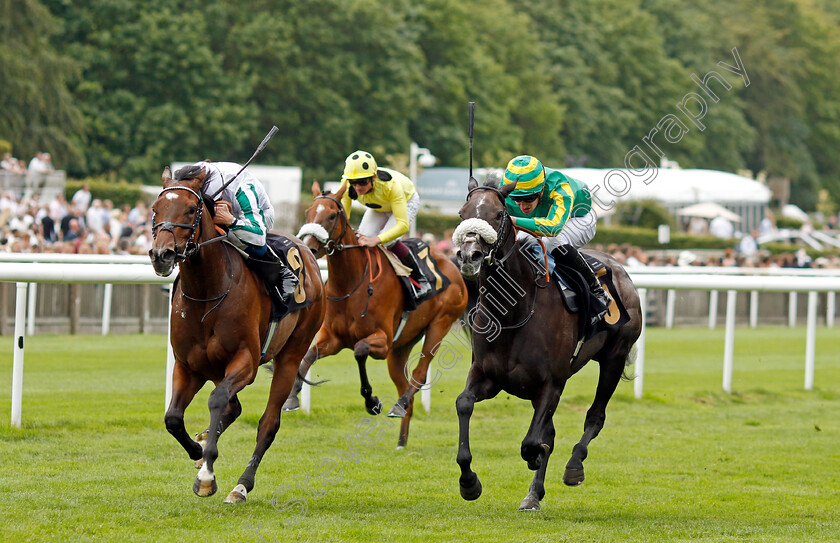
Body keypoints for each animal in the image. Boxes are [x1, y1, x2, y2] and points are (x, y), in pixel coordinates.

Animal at [148, 168, 324, 504]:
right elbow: (173, 418)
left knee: (268, 423)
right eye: (155, 209)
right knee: (233, 408)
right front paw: (198, 451)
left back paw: (241, 486)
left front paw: (206, 475)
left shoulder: (246, 361)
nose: (162, 254)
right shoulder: (188, 365)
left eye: (191, 209)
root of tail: (307, 251)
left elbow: (217, 400)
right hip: (215, 367)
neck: (207, 292)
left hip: (291, 354)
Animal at [280, 181, 466, 448]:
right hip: (401, 348)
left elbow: (359, 351)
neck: (350, 284)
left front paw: (372, 401)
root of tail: (452, 263)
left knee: (419, 374)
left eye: (332, 215)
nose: (309, 246)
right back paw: (401, 440)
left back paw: (399, 405)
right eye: (307, 212)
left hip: (439, 325)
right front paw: (292, 398)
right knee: (405, 386)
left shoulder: (383, 341)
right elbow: (308, 356)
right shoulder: (333, 339)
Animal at [452, 174, 644, 510]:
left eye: (498, 215)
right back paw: (533, 493)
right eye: (463, 214)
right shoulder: (488, 376)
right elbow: (464, 404)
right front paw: (469, 483)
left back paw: (574, 466)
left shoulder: (551, 383)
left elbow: (533, 441)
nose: (469, 256)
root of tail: (621, 269)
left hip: (614, 357)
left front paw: (534, 457)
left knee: (595, 417)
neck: (513, 311)